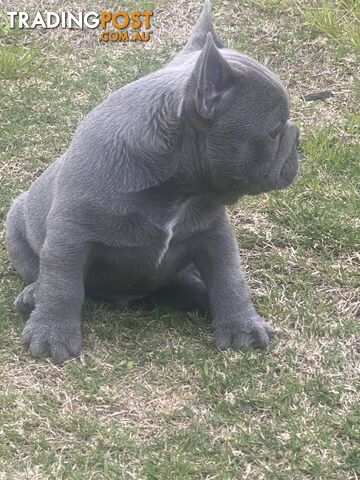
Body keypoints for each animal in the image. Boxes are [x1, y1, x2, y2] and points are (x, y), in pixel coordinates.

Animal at [5, 0, 298, 360]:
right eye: (274, 131)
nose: (296, 135)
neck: (178, 188)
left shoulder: (214, 234)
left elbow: (230, 278)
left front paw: (243, 327)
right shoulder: (69, 234)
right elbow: (63, 284)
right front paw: (52, 335)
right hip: (16, 224)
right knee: (41, 273)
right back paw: (32, 294)